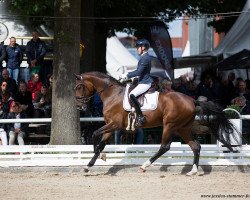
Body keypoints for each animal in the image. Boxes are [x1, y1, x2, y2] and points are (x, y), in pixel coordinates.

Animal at [74, 71, 236, 175]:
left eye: (79, 86)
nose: (79, 107)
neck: (112, 94)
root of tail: (192, 100)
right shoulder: (110, 126)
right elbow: (101, 142)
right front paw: (90, 165)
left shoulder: (115, 124)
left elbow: (94, 134)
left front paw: (98, 156)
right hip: (183, 128)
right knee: (196, 146)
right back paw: (193, 171)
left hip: (169, 125)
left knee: (164, 147)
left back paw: (144, 166)